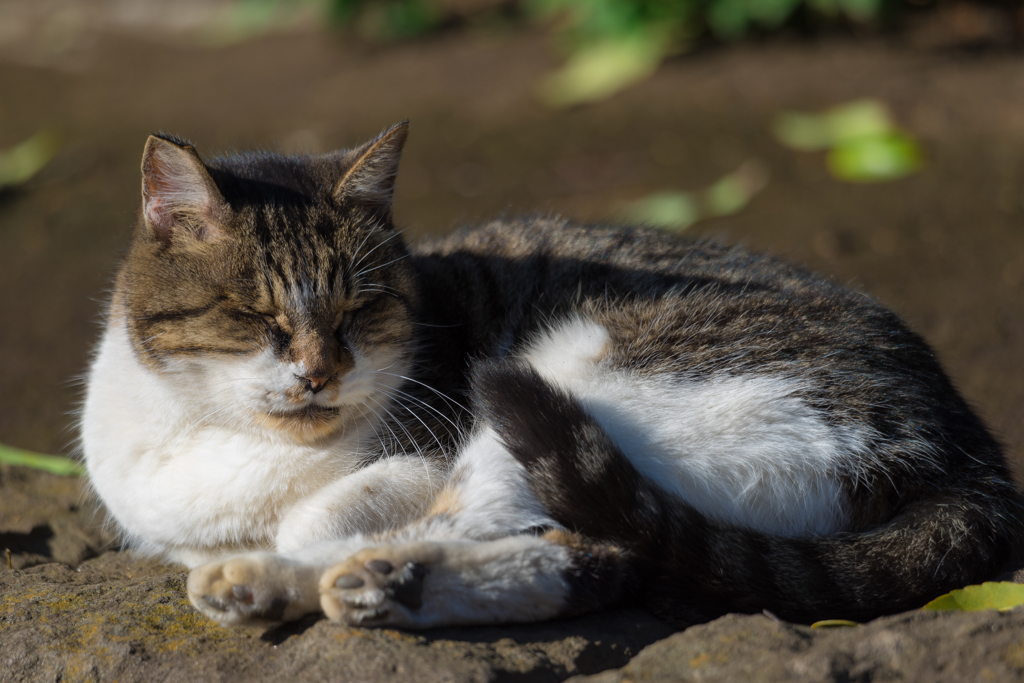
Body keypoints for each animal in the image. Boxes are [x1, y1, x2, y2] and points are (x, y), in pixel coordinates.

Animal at [81, 120, 1024, 626]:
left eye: (359, 309)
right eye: (254, 317)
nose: (318, 373)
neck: (217, 436)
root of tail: (974, 455)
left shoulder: (426, 447)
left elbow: (316, 512)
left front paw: (287, 543)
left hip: (577, 383)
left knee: (496, 523)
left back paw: (307, 578)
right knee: (592, 558)